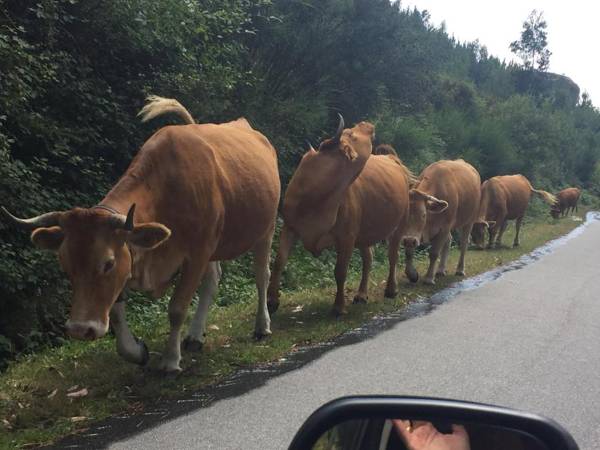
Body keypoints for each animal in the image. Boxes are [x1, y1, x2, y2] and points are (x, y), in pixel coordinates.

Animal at [1, 96, 282, 372]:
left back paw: (262, 325)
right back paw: (194, 336)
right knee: (212, 282)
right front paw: (136, 352)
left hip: (265, 229)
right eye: (65, 265)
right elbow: (116, 313)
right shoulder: (133, 256)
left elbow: (177, 308)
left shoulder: (197, 253)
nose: (80, 329)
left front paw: (170, 360)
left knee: (261, 275)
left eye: (107, 263)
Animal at [264, 121, 414, 314]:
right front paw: (271, 301)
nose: (367, 124)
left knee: (392, 255)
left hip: (400, 222)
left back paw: (391, 289)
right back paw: (361, 294)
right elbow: (279, 261)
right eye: (350, 133)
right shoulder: (289, 227)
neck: (315, 198)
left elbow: (340, 271)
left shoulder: (347, 237)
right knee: (368, 258)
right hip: (364, 232)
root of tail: (391, 159)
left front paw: (339, 306)